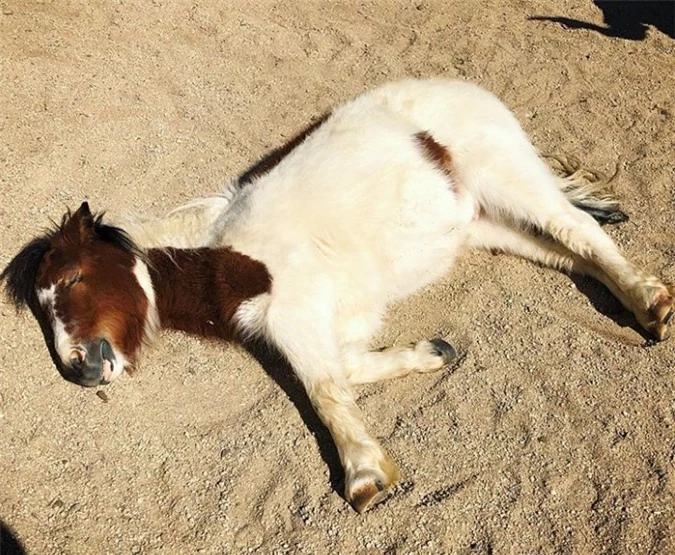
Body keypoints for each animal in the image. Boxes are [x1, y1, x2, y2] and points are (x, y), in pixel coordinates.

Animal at [2, 77, 672, 512]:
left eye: (72, 279)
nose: (80, 369)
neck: (226, 255)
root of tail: (465, 88)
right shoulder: (340, 320)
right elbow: (349, 367)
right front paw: (432, 355)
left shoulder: (294, 316)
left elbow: (323, 388)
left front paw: (366, 476)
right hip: (484, 222)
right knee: (569, 253)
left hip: (510, 178)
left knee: (576, 229)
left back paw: (653, 305)